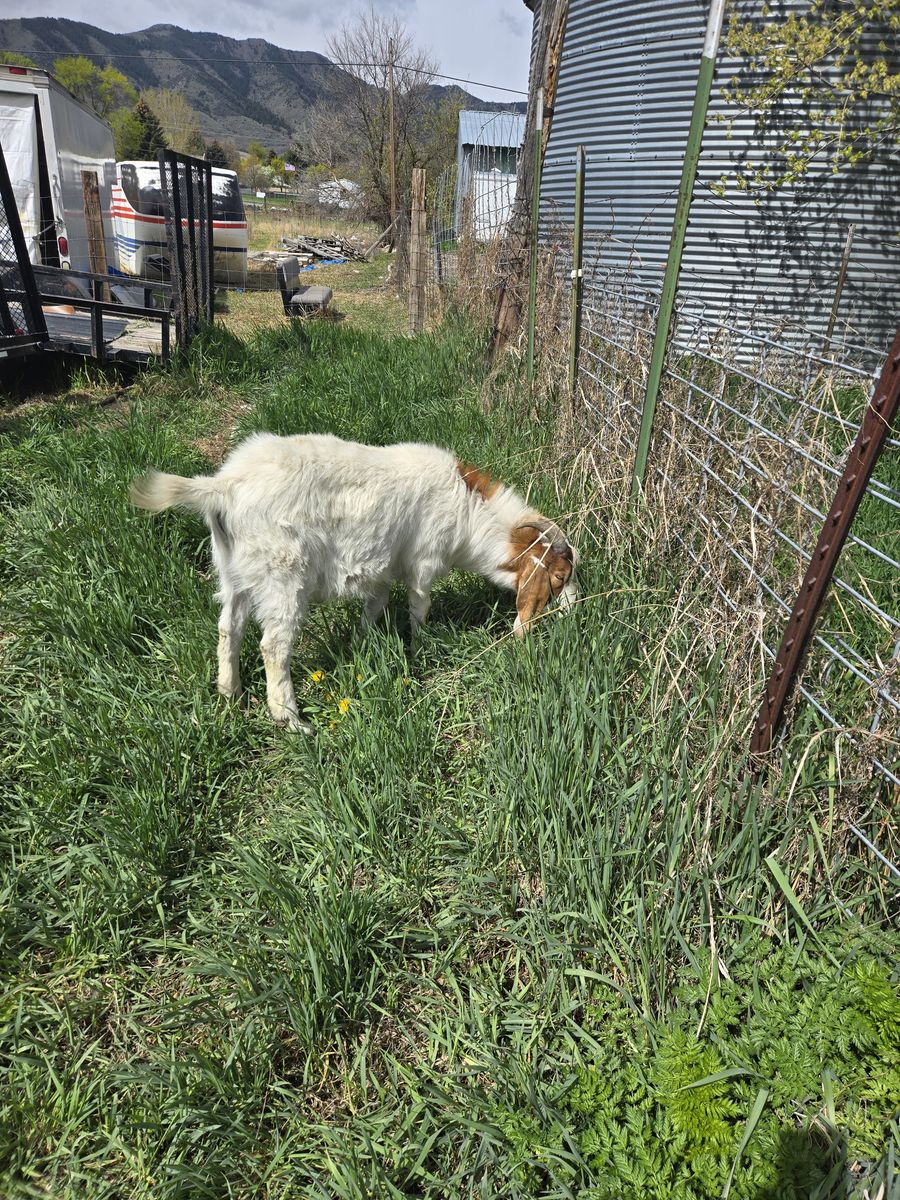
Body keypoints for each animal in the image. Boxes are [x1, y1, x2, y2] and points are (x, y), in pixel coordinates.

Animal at [130, 432, 576, 732]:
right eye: (559, 577)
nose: (572, 615)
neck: (466, 509)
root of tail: (223, 486)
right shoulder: (423, 562)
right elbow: (420, 607)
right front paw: (420, 649)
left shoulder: (380, 569)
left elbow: (374, 606)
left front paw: (362, 645)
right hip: (283, 577)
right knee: (273, 647)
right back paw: (291, 721)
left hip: (233, 572)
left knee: (228, 628)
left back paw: (230, 694)